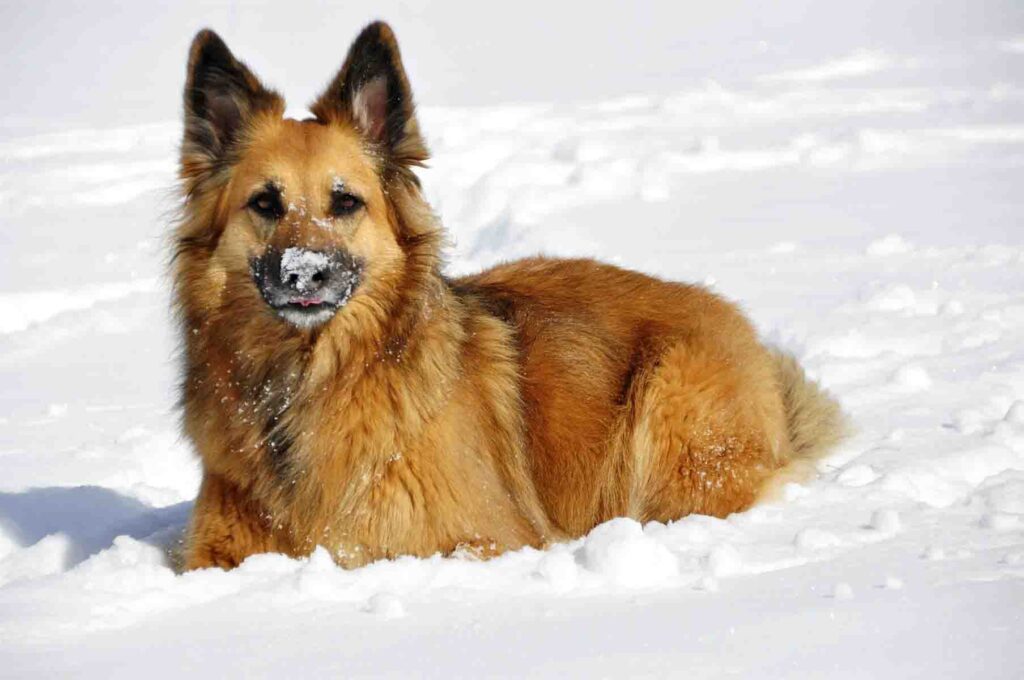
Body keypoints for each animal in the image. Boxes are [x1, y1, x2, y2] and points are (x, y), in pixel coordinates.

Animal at [176, 22, 843, 569]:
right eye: (266, 203)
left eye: (345, 202)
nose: (304, 274)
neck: (304, 382)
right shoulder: (213, 552)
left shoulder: (483, 538)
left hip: (670, 425)